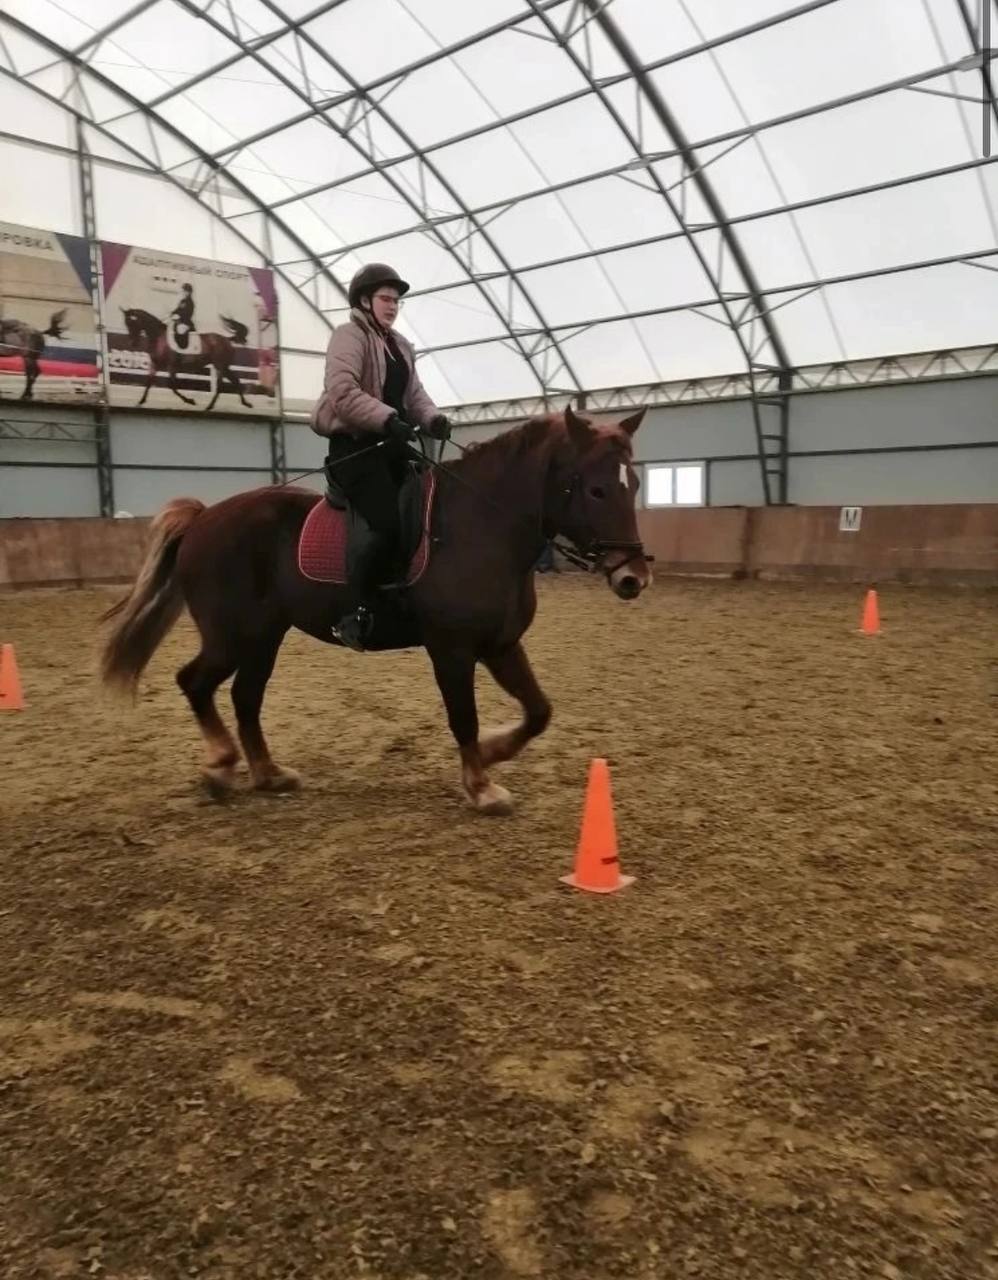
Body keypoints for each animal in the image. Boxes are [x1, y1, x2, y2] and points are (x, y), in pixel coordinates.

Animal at [97, 405, 651, 815]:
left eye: (636, 483)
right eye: (596, 488)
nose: (633, 577)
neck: (481, 527)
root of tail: (204, 518)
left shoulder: (500, 644)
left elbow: (538, 711)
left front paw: (494, 752)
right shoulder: (451, 651)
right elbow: (464, 717)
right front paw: (480, 786)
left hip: (264, 637)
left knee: (244, 698)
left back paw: (269, 774)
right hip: (232, 636)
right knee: (195, 682)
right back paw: (219, 767)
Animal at [119, 308, 253, 412]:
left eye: (132, 323)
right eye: (126, 323)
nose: (132, 343)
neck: (159, 338)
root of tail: (227, 339)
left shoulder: (171, 366)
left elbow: (172, 386)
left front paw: (190, 401)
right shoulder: (155, 365)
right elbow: (148, 383)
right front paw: (140, 402)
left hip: (219, 365)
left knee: (221, 385)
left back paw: (210, 406)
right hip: (224, 366)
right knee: (235, 381)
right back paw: (246, 404)